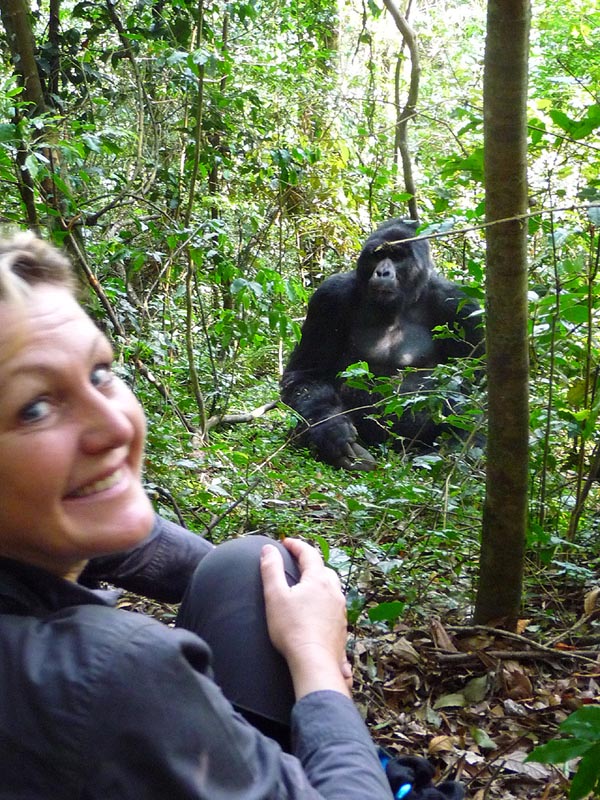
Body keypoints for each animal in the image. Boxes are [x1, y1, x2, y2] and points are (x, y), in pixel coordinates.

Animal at [282, 216, 488, 472]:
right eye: (378, 255)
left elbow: (478, 390)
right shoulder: (329, 297)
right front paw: (332, 430)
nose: (383, 272)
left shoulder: (462, 305)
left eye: (398, 257)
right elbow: (306, 375)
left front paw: (460, 448)